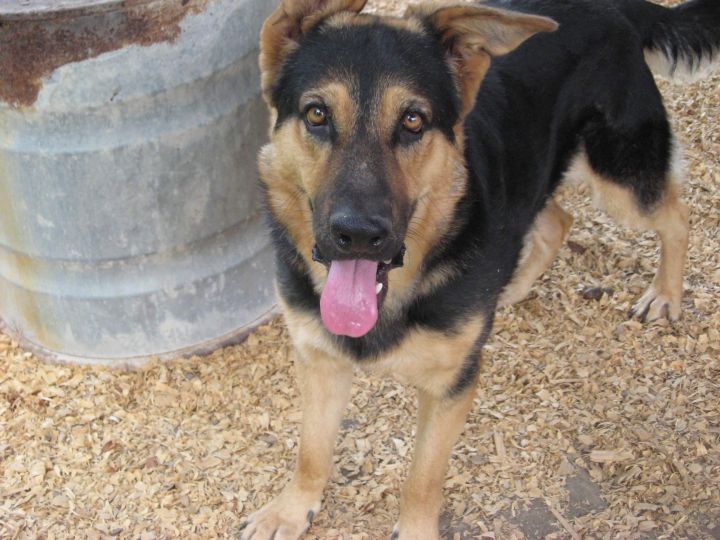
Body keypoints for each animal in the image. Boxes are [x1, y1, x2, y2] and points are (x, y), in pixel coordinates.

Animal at [242, 0, 719, 538]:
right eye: (317, 114)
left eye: (413, 121)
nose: (358, 235)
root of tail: (615, 7)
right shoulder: (321, 360)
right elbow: (312, 450)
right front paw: (291, 508)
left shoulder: (452, 384)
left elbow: (423, 478)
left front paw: (415, 530)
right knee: (557, 220)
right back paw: (512, 286)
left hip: (621, 177)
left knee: (677, 216)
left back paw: (666, 294)